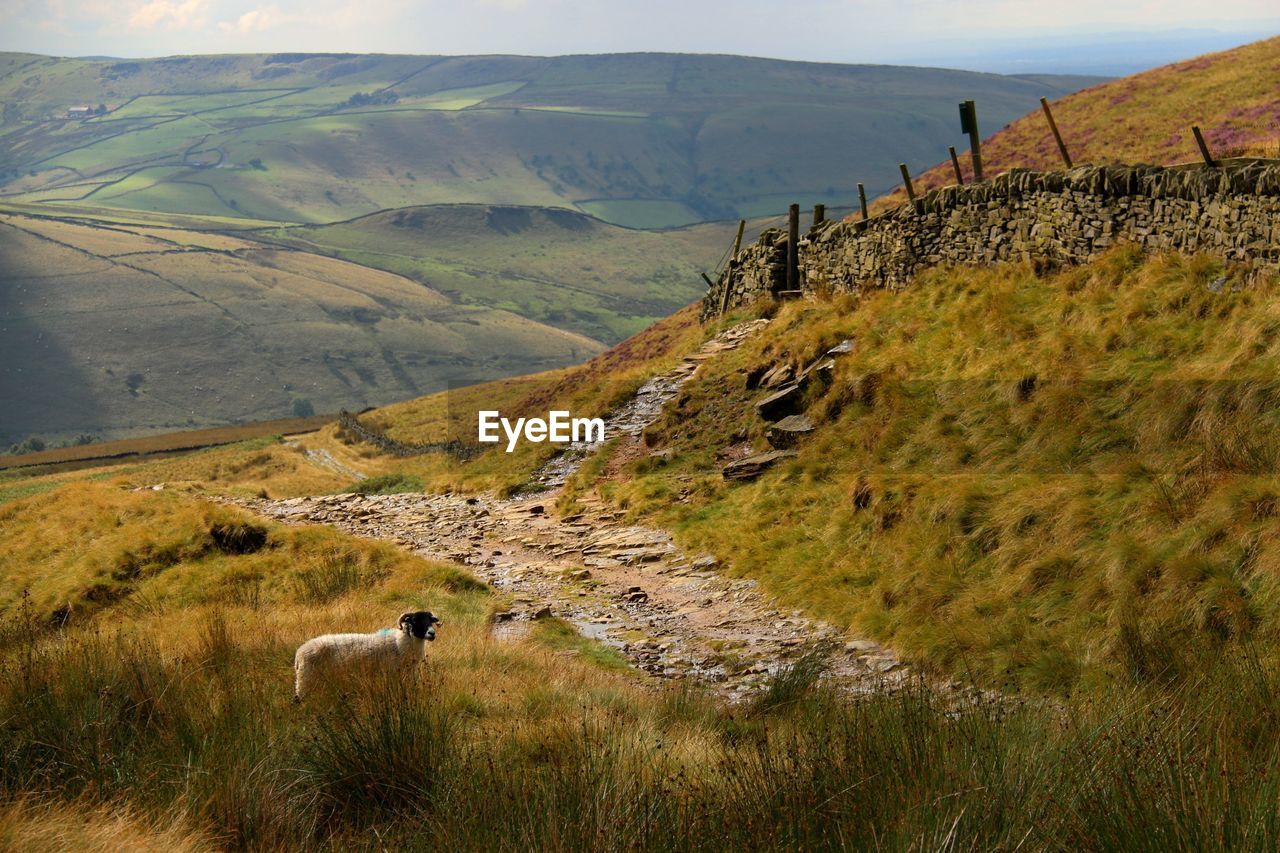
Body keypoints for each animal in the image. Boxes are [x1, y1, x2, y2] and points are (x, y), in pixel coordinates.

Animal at [293, 607, 442, 701]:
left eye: (431, 620)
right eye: (416, 620)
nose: (432, 634)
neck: (398, 643)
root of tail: (300, 652)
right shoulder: (392, 675)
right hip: (306, 679)